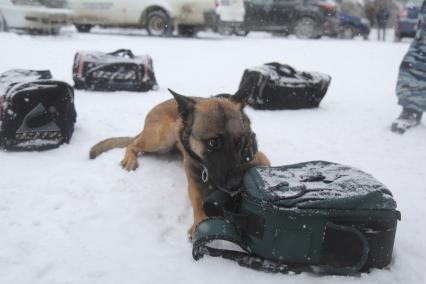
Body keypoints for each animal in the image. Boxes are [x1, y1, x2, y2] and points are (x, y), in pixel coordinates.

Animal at [89, 87, 270, 237]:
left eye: (239, 142)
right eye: (213, 143)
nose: (235, 185)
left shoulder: (261, 159)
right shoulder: (193, 180)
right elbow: (198, 201)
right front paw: (199, 222)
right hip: (161, 138)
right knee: (132, 144)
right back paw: (130, 159)